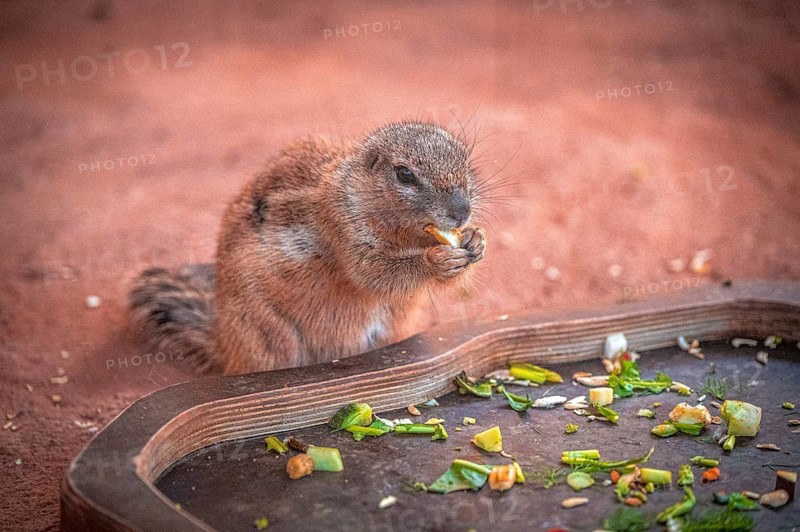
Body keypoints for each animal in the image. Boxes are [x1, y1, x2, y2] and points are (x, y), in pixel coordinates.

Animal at [129, 122, 487, 374]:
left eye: (465, 161)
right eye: (404, 175)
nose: (462, 212)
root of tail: (224, 342)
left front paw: (476, 241)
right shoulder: (341, 223)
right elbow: (372, 273)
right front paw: (436, 261)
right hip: (271, 337)